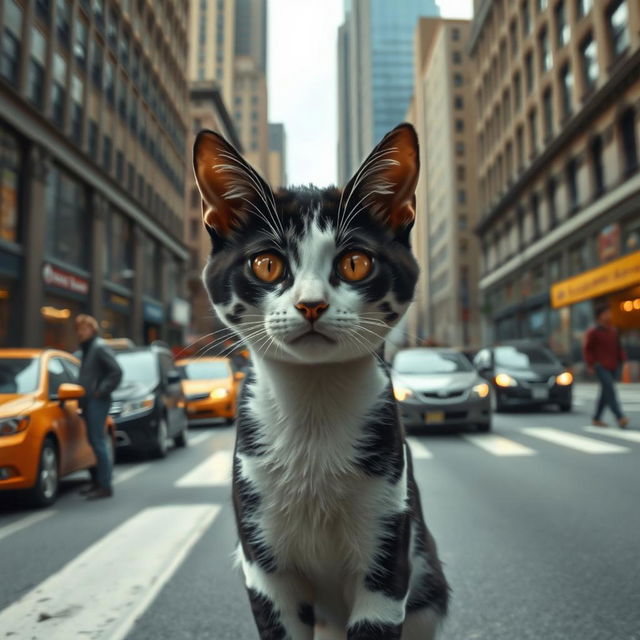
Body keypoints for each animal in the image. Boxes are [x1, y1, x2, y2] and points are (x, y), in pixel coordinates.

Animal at [192, 122, 448, 636]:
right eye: (267, 264)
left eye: (355, 263)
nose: (311, 304)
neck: (313, 404)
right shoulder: (264, 563)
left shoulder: (386, 555)